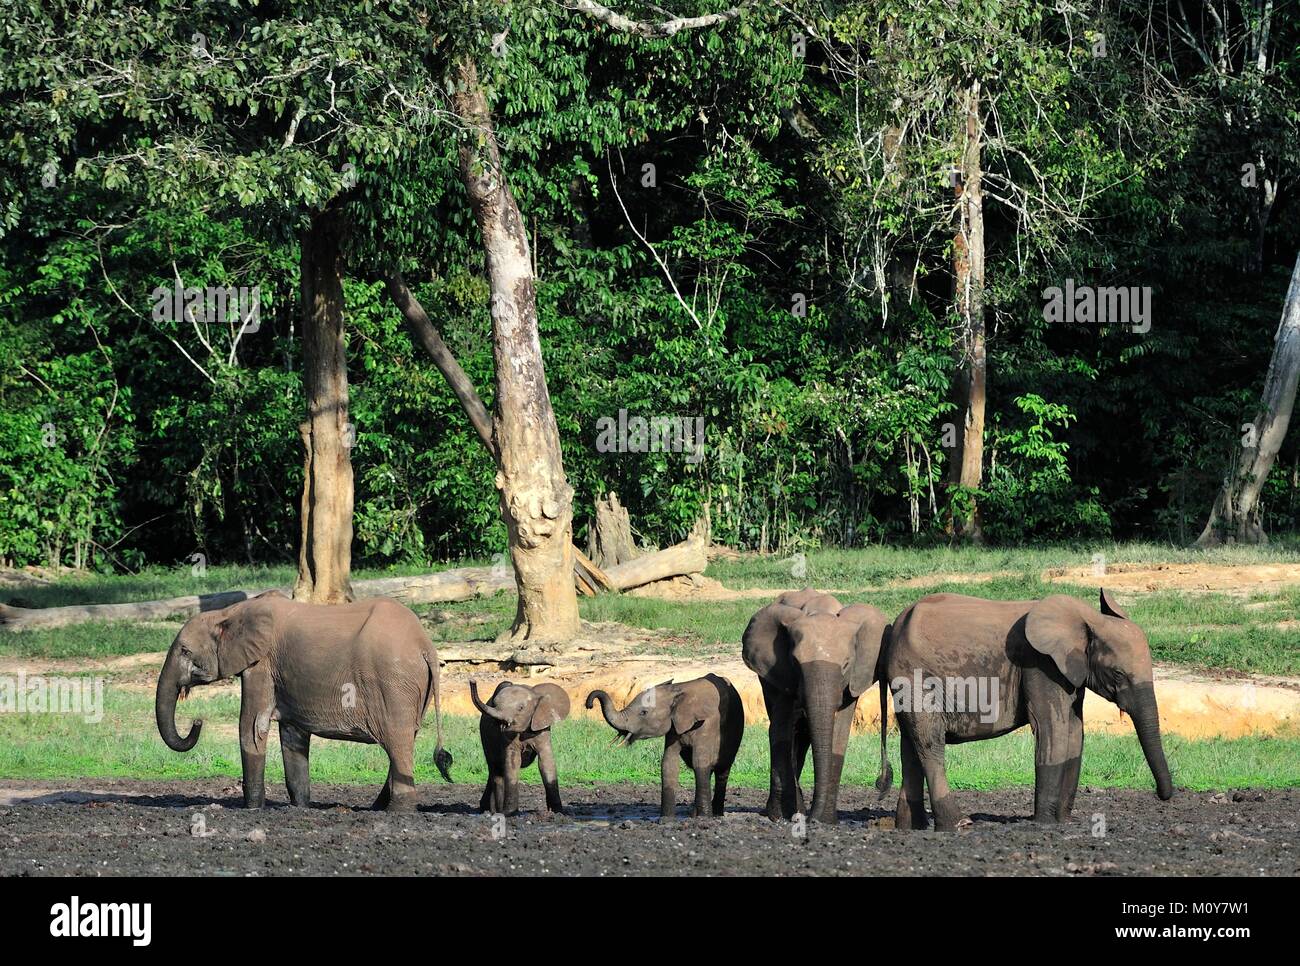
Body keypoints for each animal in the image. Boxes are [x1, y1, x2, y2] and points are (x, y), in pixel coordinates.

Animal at [155, 590, 452, 811]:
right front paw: (300, 807)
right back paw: (377, 807)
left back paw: (397, 811)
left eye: (185, 651)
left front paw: (253, 809)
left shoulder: (261, 665)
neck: (229, 612)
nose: (197, 721)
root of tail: (425, 645)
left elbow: (252, 727)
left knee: (397, 742)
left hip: (393, 684)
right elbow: (292, 736)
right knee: (405, 741)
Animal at [470, 678, 570, 815]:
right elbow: (513, 762)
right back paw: (495, 812)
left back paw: (488, 809)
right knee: (496, 770)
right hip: (485, 737)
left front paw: (558, 812)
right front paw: (510, 813)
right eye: (494, 704)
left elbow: (546, 762)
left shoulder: (542, 729)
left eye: (521, 708)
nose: (472, 681)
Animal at [585, 674, 743, 819]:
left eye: (644, 712)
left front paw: (704, 819)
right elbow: (668, 763)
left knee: (722, 770)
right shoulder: (673, 726)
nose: (589, 705)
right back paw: (694, 815)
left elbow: (700, 761)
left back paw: (716, 814)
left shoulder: (707, 724)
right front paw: (666, 820)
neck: (677, 690)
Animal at [743, 591, 891, 824]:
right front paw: (782, 816)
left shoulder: (851, 682)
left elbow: (838, 735)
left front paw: (826, 820)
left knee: (802, 736)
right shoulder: (781, 670)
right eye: (796, 663)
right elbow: (781, 731)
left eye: (846, 664)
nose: (813, 820)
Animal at [884, 588, 1174, 832]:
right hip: (915, 677)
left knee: (911, 746)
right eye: (1117, 674)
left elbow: (1074, 734)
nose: (1163, 796)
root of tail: (897, 624)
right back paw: (957, 825)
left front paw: (1064, 821)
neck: (1087, 619)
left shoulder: (1068, 671)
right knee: (930, 743)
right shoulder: (1040, 664)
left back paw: (911, 828)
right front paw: (1045, 824)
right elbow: (1053, 730)